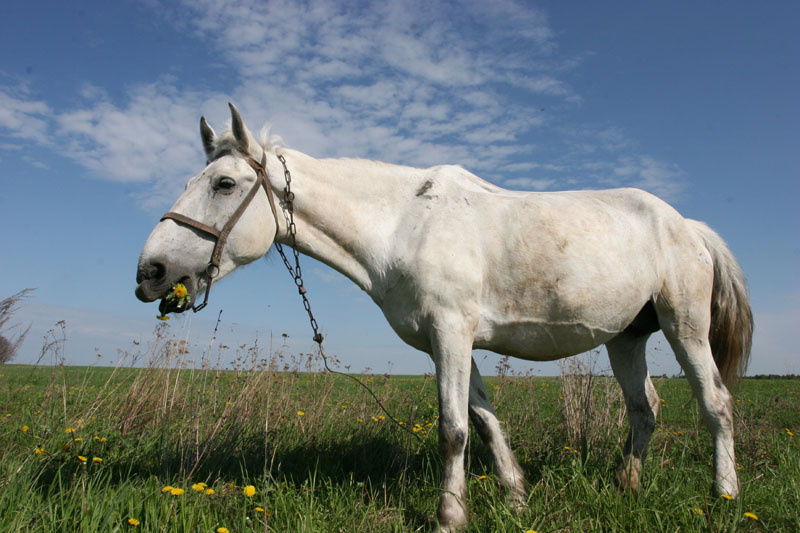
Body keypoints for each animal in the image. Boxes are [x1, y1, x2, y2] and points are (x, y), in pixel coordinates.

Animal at [135, 103, 753, 531]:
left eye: (224, 184)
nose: (151, 273)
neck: (403, 224)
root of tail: (687, 225)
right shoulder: (451, 343)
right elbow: (484, 422)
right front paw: (515, 497)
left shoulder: (451, 333)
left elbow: (453, 429)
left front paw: (450, 516)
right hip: (625, 338)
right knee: (644, 408)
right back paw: (628, 485)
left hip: (684, 327)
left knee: (716, 404)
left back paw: (725, 494)